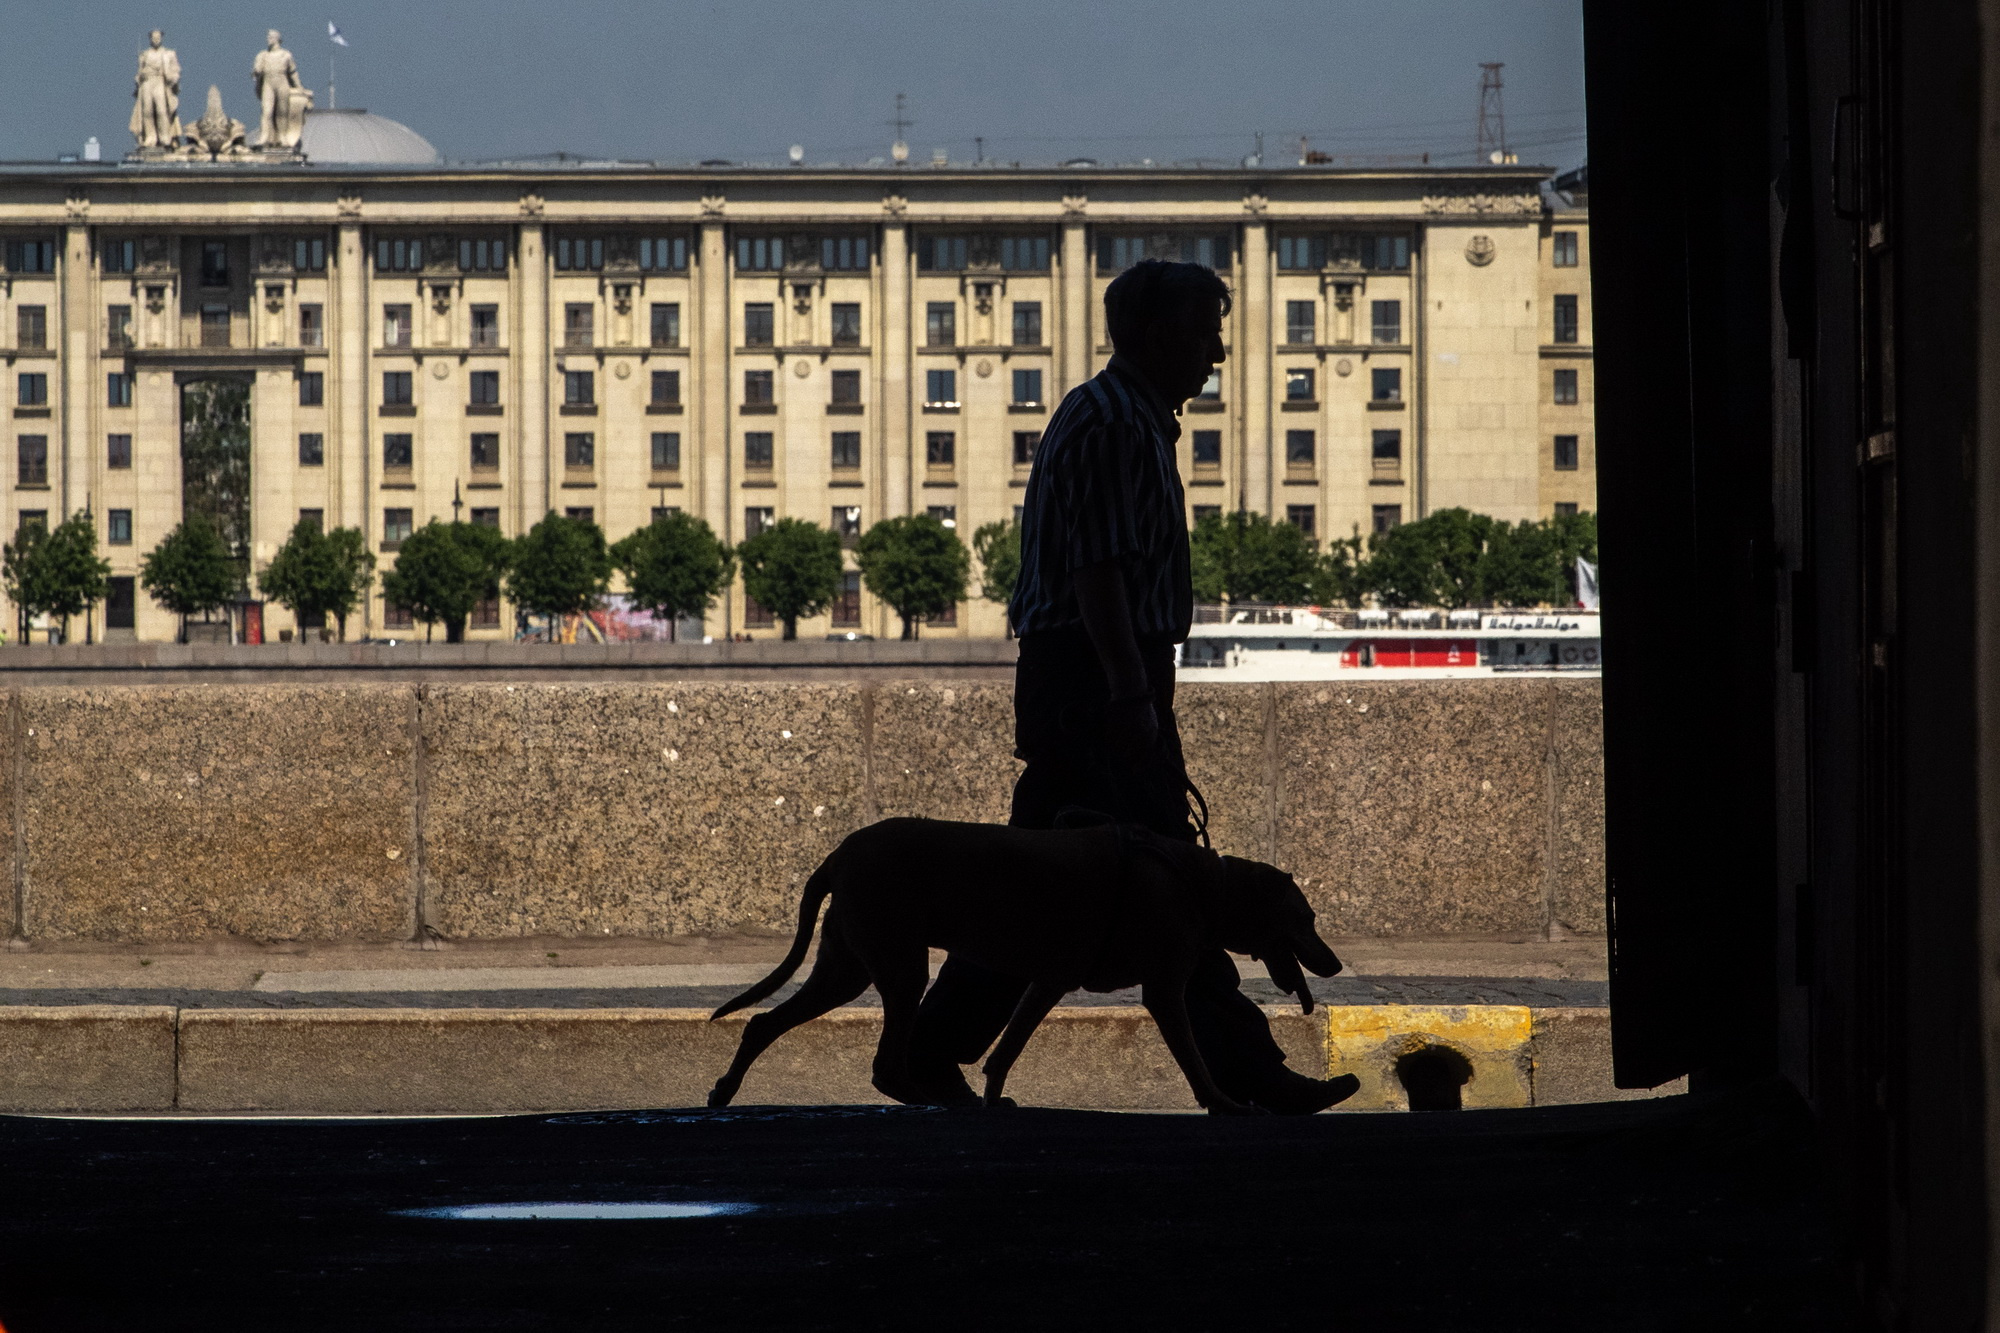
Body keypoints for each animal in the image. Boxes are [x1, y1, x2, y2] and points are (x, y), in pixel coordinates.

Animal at [704, 820, 1344, 1112]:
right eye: (1306, 917)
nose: (1335, 964)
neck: (1206, 886)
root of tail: (837, 854)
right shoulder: (1164, 989)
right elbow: (1194, 1057)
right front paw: (1225, 1103)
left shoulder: (1049, 979)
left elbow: (1006, 1051)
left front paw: (994, 1099)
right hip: (898, 966)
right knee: (885, 1065)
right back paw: (938, 1099)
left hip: (846, 969)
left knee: (763, 1022)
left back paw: (724, 1090)